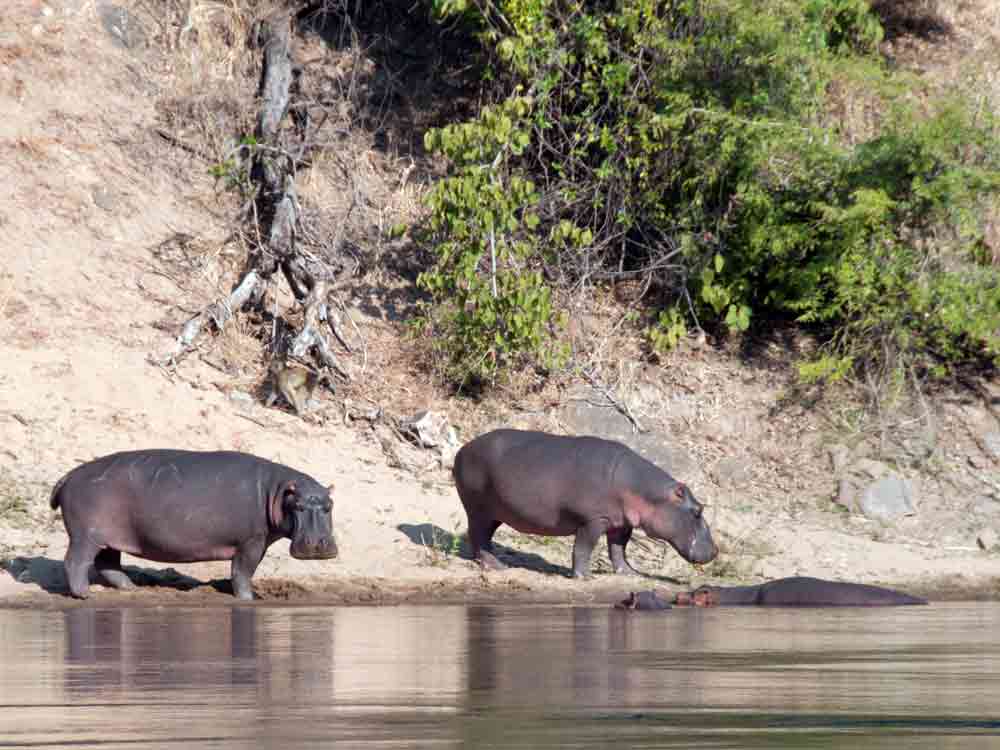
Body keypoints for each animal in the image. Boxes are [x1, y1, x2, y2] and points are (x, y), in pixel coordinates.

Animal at [49, 449, 338, 600]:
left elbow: (245, 571)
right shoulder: (251, 541)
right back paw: (85, 595)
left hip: (110, 538)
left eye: (329, 505)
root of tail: (68, 475)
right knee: (75, 562)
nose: (317, 544)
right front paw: (249, 599)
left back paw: (132, 589)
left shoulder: (260, 541)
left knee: (108, 564)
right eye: (297, 506)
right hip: (86, 536)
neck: (277, 491)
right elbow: (243, 571)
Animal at [452, 429, 718, 578]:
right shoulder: (593, 520)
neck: (645, 491)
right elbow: (583, 548)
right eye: (698, 511)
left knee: (483, 536)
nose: (716, 551)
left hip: (495, 512)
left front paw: (630, 574)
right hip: (478, 507)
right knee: (477, 535)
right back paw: (497, 567)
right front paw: (585, 577)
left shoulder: (621, 523)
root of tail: (462, 448)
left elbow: (618, 550)